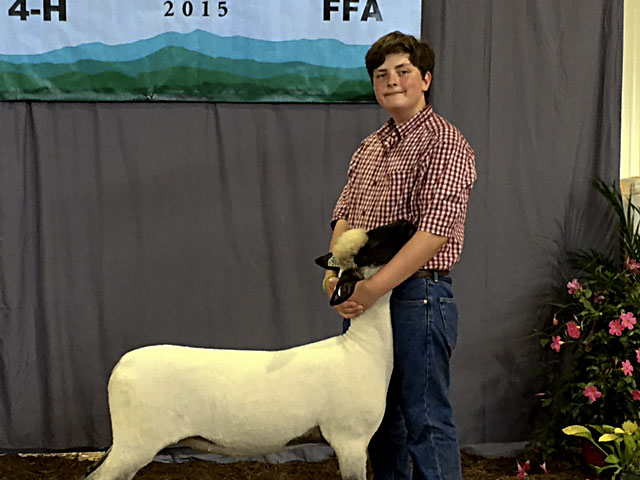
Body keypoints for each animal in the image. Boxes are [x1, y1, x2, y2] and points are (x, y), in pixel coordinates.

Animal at [84, 220, 417, 480]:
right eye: (374, 243)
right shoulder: (350, 439)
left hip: (128, 442)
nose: (408, 223)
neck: (363, 349)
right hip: (136, 441)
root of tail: (120, 367)